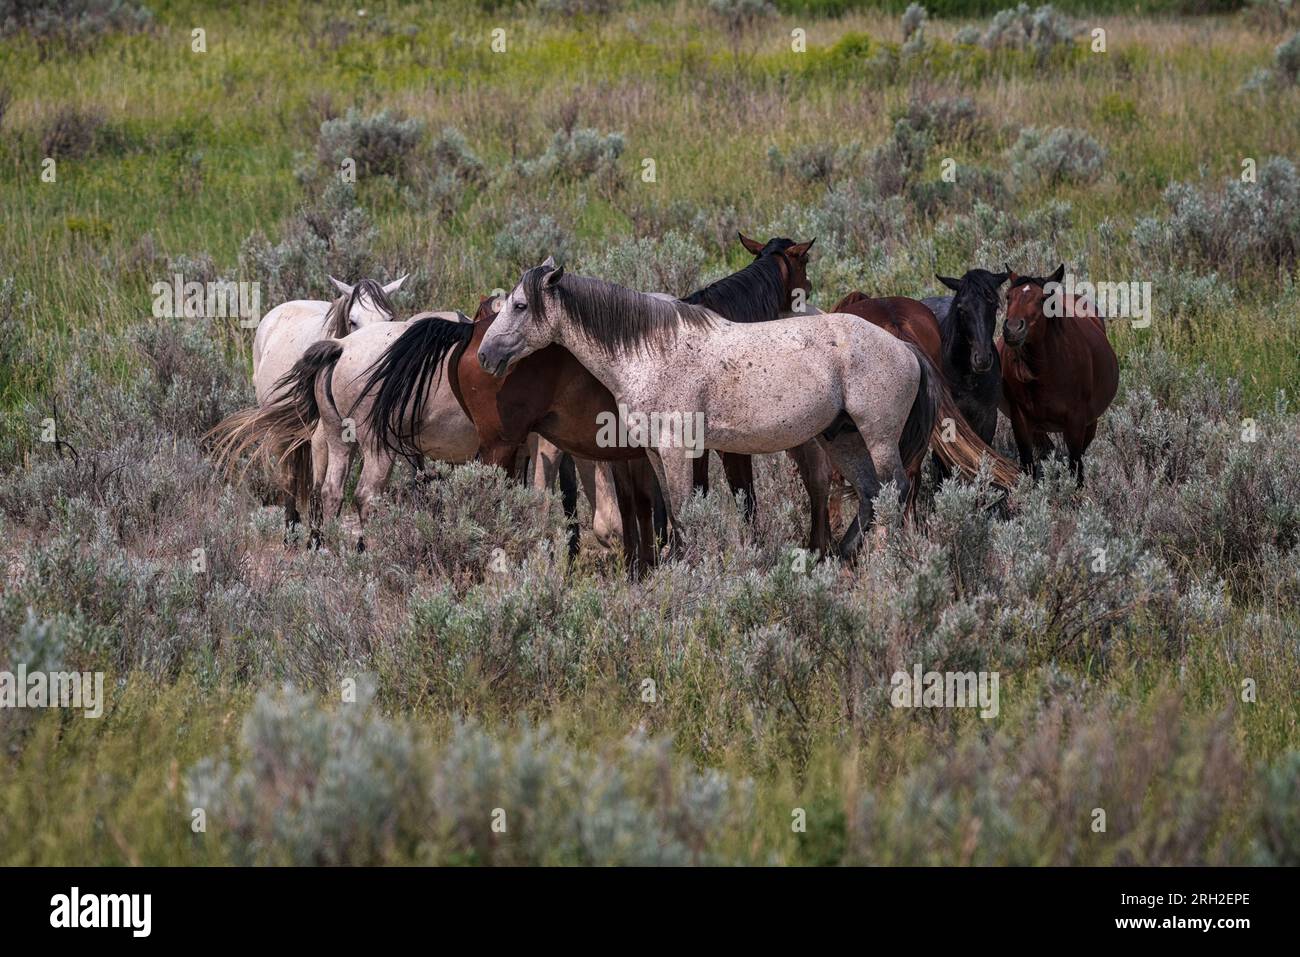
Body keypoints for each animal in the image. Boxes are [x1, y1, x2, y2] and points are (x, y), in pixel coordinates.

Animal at [218, 274, 407, 537]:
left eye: (389, 319)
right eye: (353, 321)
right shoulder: (320, 439)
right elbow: (319, 489)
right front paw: (316, 539)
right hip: (282, 433)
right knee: (289, 478)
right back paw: (290, 531)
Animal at [478, 258, 938, 558]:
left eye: (521, 305)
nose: (485, 355)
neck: (650, 351)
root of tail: (904, 348)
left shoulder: (678, 450)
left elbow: (682, 512)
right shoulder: (654, 453)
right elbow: (671, 513)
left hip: (878, 439)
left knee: (894, 491)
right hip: (842, 438)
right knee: (870, 495)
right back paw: (839, 557)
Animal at [1001, 264, 1119, 485]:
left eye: (1042, 299)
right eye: (1008, 296)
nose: (1012, 329)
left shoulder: (1076, 421)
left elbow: (1075, 468)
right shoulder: (1020, 420)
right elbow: (1028, 465)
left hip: (1089, 423)